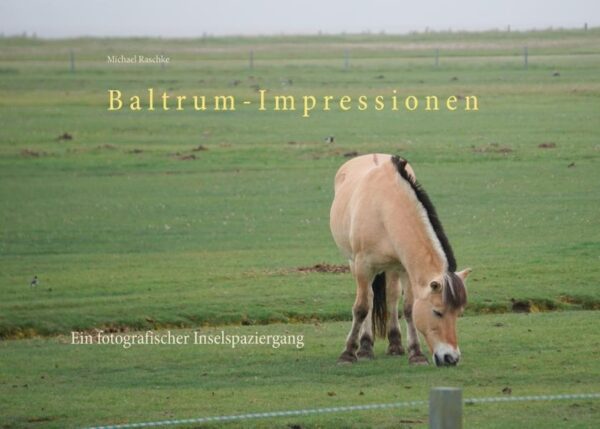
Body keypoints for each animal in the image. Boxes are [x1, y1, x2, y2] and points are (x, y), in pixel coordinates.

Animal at [330, 153, 472, 364]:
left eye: (458, 313)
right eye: (437, 312)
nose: (451, 358)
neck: (385, 208)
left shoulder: (405, 268)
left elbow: (408, 308)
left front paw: (416, 353)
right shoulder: (363, 266)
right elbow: (362, 308)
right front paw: (348, 353)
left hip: (392, 268)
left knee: (392, 296)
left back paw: (395, 344)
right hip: (354, 263)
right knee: (369, 298)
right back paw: (365, 346)